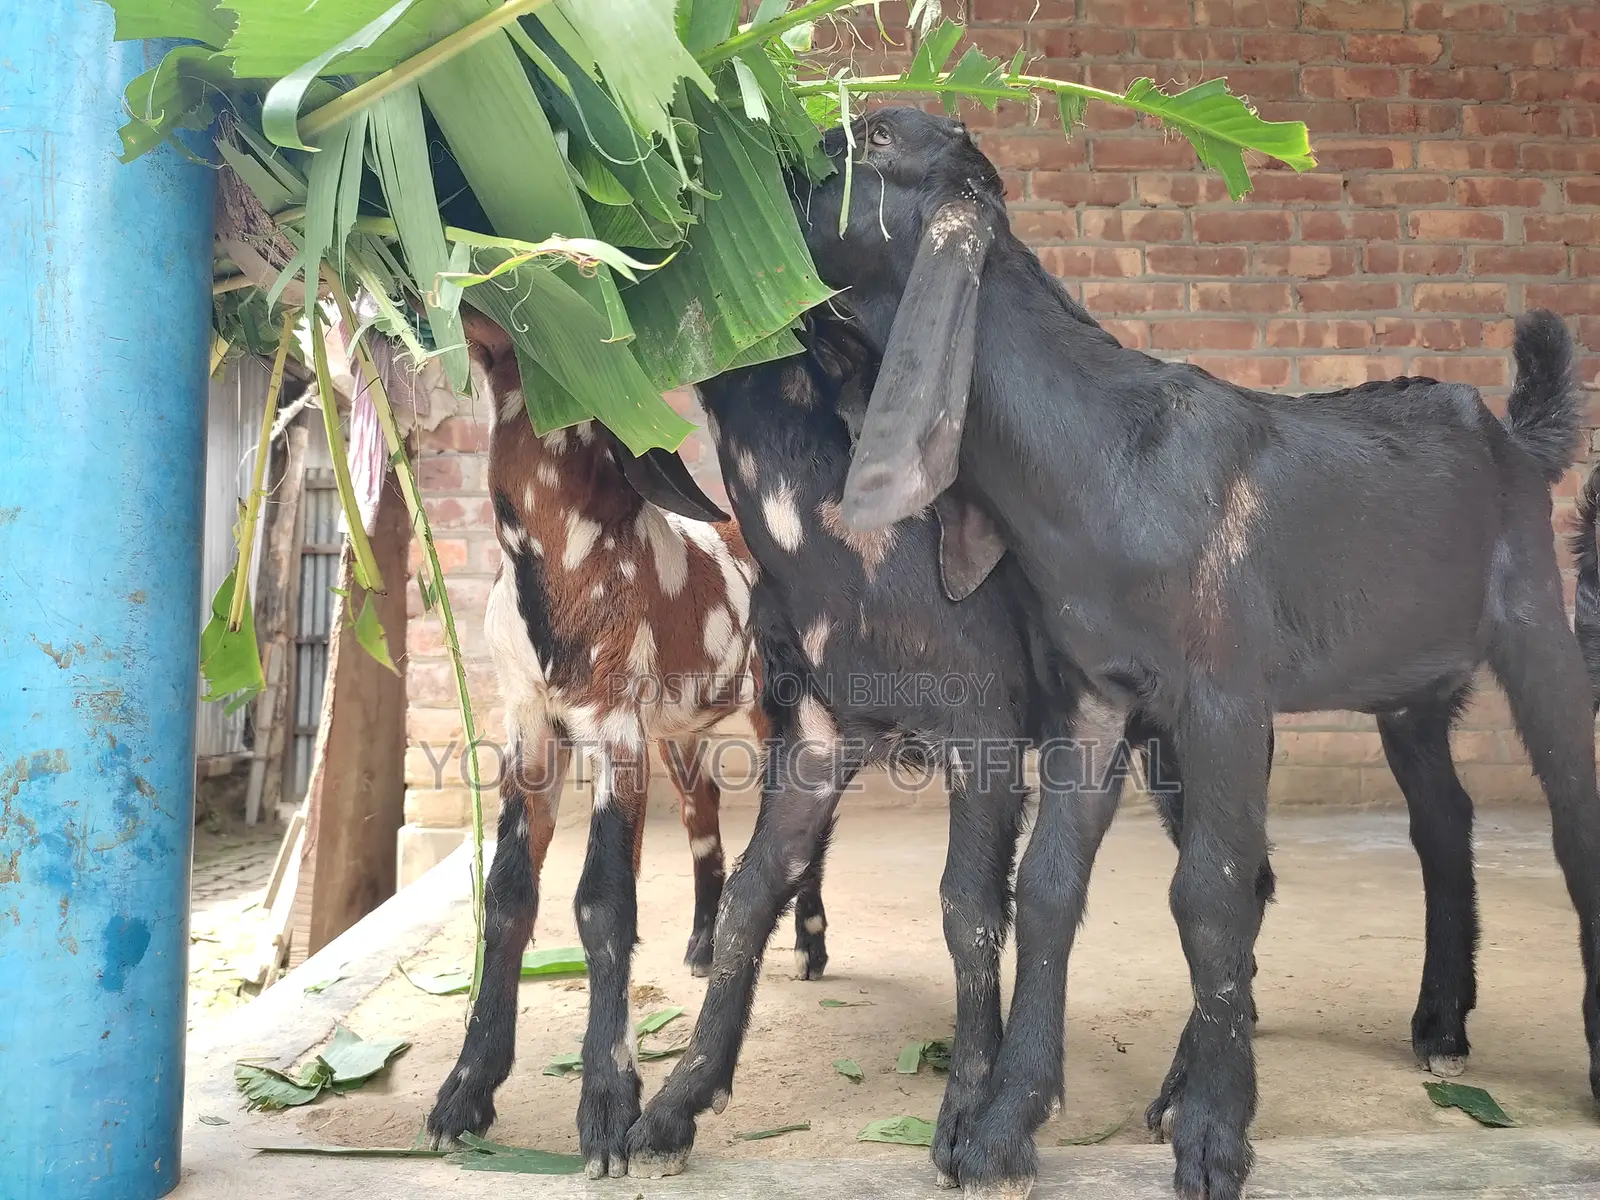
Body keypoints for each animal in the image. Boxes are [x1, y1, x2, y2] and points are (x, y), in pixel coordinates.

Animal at [424, 312, 832, 1176]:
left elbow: (602, 900)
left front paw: (610, 1112)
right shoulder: (531, 726)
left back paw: (811, 941)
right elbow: (507, 897)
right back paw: (704, 945)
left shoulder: (614, 728)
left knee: (794, 821)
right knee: (706, 822)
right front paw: (464, 1094)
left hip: (772, 706)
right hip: (678, 732)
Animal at [786, 107, 1599, 1200]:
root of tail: (1516, 439)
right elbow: (1049, 887)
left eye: (874, 138)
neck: (1102, 458)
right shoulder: (1095, 695)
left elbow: (1211, 892)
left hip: (1536, 627)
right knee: (1443, 820)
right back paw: (1438, 1019)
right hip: (1407, 686)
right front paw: (1006, 1126)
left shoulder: (1223, 697)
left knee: (1572, 819)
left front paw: (1214, 1132)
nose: (769, 176)